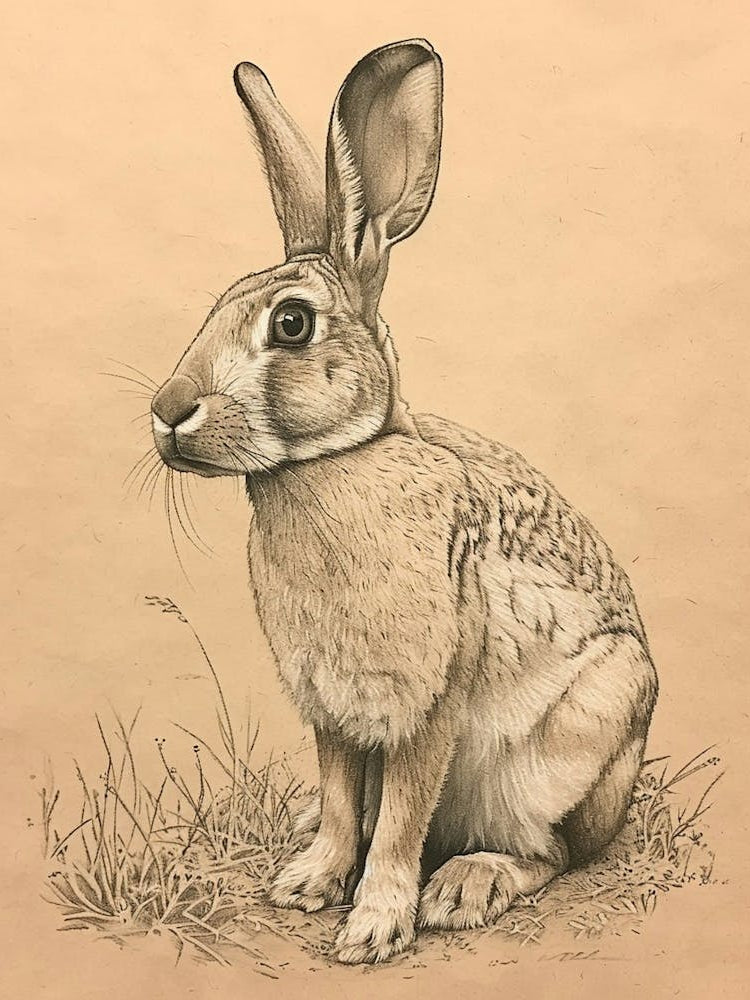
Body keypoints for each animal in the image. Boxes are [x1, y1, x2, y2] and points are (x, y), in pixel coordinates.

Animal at [150, 38, 658, 964]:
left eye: (290, 325)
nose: (168, 412)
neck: (337, 462)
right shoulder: (332, 709)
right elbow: (343, 799)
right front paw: (309, 884)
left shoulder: (428, 701)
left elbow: (398, 819)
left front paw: (374, 927)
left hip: (573, 742)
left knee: (554, 854)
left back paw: (464, 887)